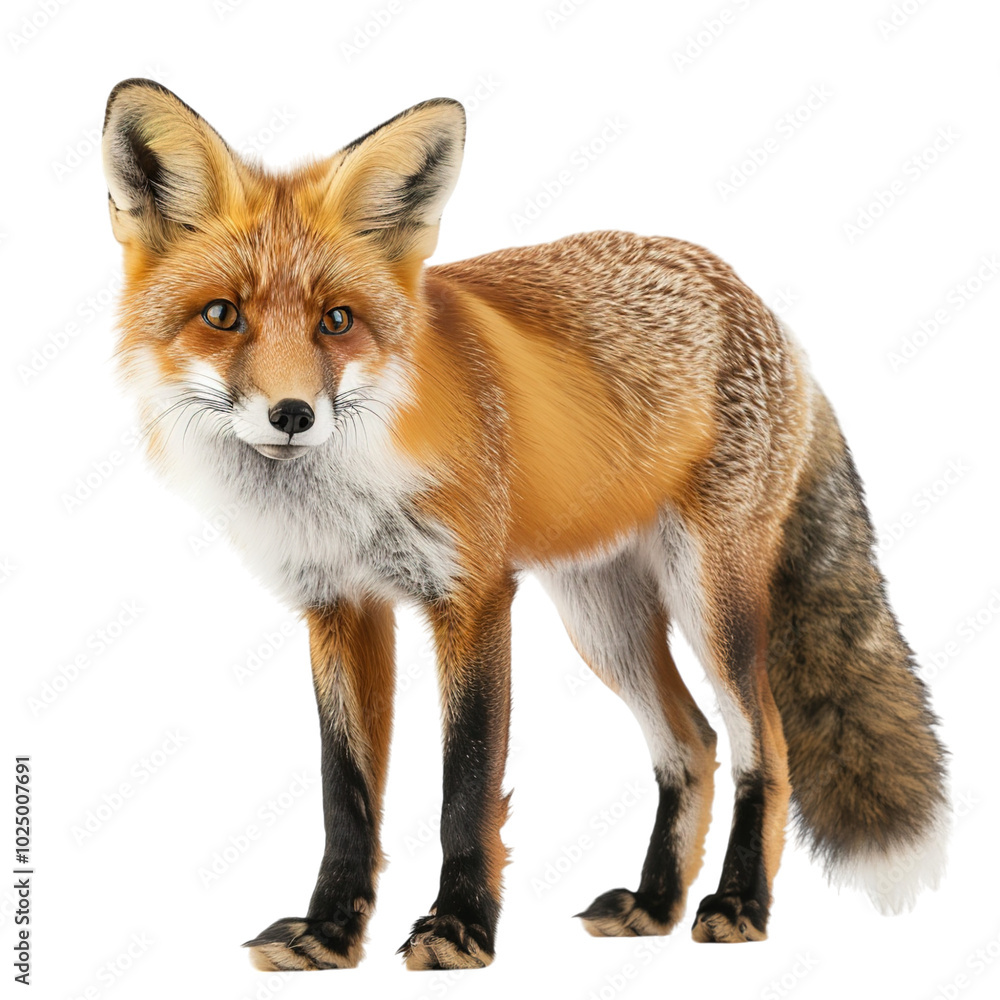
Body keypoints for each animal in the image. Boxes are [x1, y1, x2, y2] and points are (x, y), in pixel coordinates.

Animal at [101, 79, 948, 971]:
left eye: (336, 321)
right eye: (222, 315)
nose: (293, 414)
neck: (345, 493)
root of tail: (757, 302)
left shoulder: (472, 597)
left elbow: (466, 790)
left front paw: (459, 928)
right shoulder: (340, 606)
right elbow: (346, 797)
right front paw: (329, 933)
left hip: (710, 601)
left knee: (765, 747)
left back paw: (739, 903)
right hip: (602, 619)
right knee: (691, 745)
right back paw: (655, 904)